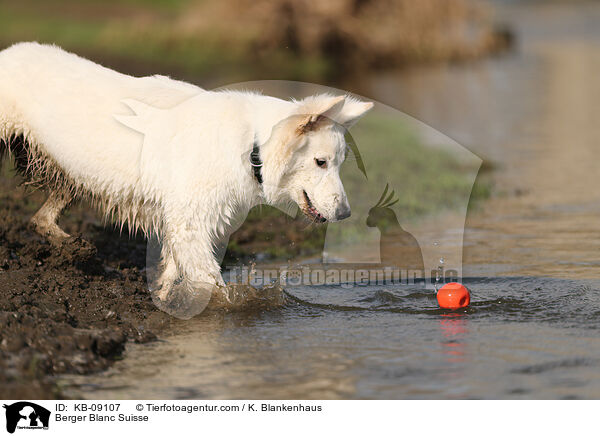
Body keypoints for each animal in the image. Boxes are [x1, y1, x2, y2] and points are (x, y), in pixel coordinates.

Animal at [0, 43, 372, 304]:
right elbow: (211, 282)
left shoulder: (184, 222)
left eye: (339, 163)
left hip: (72, 178)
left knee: (39, 220)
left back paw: (71, 246)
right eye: (321, 162)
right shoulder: (190, 223)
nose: (345, 214)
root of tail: (10, 51)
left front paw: (164, 299)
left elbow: (172, 272)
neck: (251, 145)